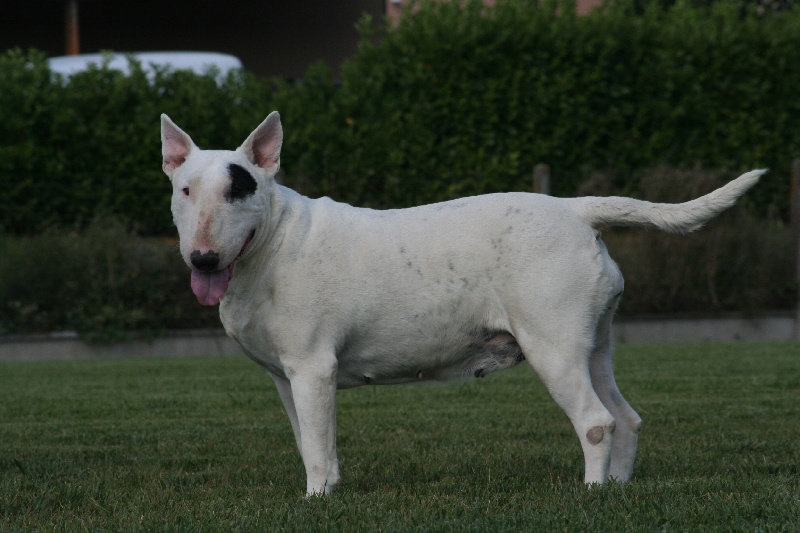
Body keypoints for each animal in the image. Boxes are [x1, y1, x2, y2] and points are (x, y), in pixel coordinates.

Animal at [161, 111, 763, 495]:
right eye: (185, 190)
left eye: (239, 189)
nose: (203, 260)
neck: (272, 243)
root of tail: (575, 209)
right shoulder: (287, 379)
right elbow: (312, 440)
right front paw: (325, 490)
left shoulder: (313, 369)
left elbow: (316, 444)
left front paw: (315, 501)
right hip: (594, 346)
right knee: (627, 417)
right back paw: (617, 490)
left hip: (553, 346)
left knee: (596, 421)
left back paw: (590, 494)